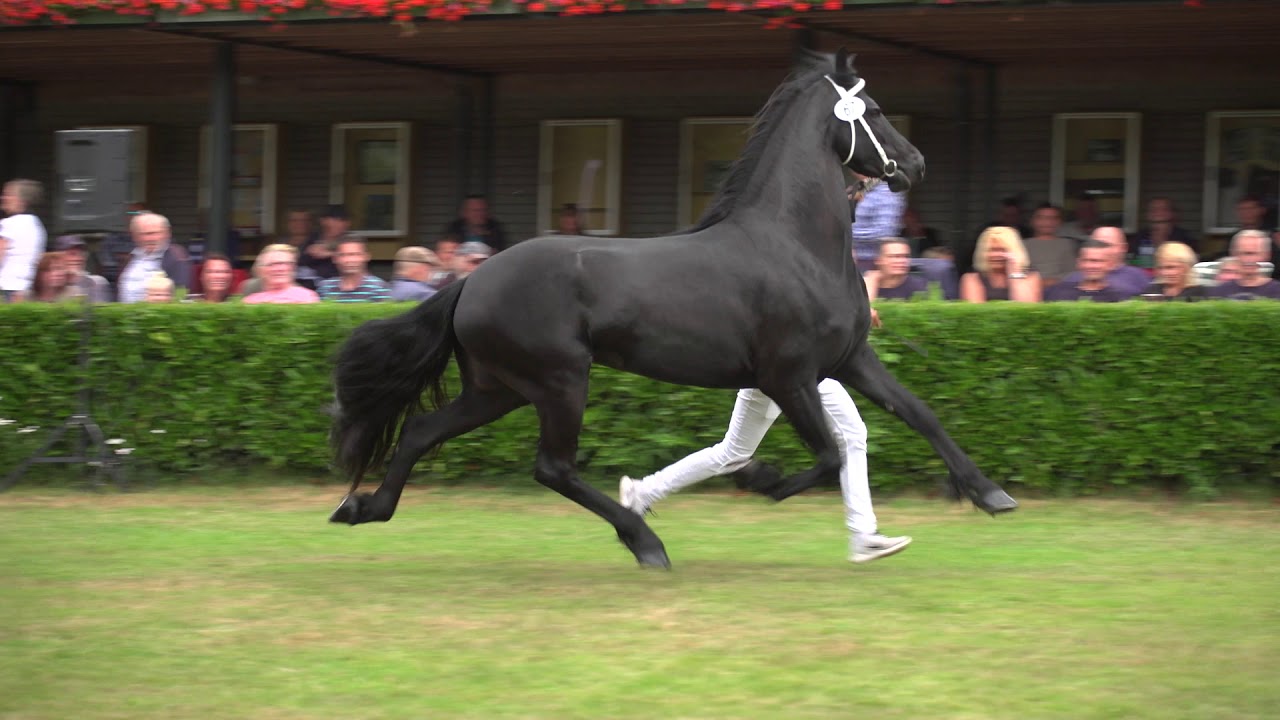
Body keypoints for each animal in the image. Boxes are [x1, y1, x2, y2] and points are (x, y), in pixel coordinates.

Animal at [328, 48, 1018, 569]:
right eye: (871, 111)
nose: (917, 165)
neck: (796, 244)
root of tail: (470, 280)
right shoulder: (788, 376)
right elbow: (825, 456)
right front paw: (759, 479)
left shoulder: (848, 360)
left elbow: (918, 414)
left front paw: (991, 494)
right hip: (558, 381)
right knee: (552, 467)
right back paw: (645, 541)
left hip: (500, 388)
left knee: (421, 430)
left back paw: (362, 508)